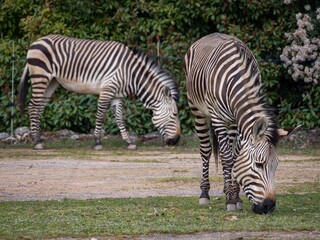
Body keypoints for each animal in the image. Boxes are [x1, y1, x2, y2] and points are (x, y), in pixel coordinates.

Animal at [18, 34, 181, 150]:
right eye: (174, 115)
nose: (177, 141)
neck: (131, 73)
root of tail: (36, 41)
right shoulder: (107, 90)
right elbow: (101, 115)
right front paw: (97, 141)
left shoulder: (117, 95)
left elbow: (119, 118)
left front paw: (128, 142)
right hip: (40, 76)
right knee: (33, 106)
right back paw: (36, 142)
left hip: (52, 81)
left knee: (39, 107)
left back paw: (39, 138)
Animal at [185, 33, 298, 214]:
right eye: (259, 164)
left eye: (276, 166)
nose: (269, 207)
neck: (238, 80)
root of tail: (209, 35)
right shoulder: (218, 118)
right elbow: (227, 158)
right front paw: (230, 200)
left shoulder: (238, 123)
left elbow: (235, 156)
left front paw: (235, 196)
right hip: (197, 110)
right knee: (206, 150)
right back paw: (204, 194)